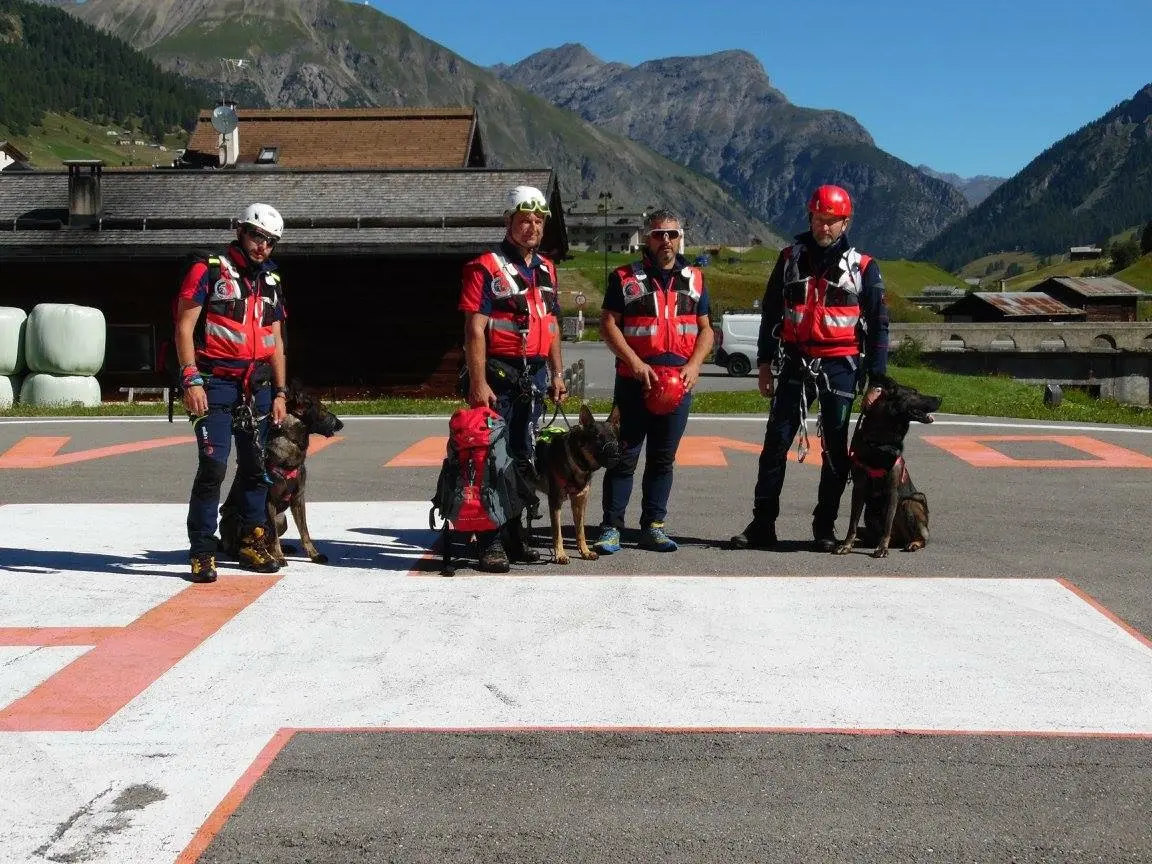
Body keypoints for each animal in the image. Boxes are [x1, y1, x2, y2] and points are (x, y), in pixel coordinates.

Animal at [216, 382, 340, 564]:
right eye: (323, 409)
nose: (340, 424)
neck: (290, 442)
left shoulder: (298, 499)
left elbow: (305, 532)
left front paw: (314, 554)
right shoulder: (269, 502)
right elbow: (274, 535)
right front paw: (279, 557)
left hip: (282, 519)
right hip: (237, 517)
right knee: (239, 543)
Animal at [532, 407, 622, 569]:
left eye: (613, 437)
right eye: (597, 438)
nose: (616, 456)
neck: (575, 460)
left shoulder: (580, 502)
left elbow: (581, 532)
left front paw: (585, 552)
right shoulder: (555, 502)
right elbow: (557, 533)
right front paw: (560, 555)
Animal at [838, 377, 944, 562]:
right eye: (914, 393)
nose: (940, 398)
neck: (881, 442)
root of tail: (901, 540)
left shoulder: (893, 491)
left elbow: (887, 523)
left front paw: (882, 548)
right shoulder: (859, 489)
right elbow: (852, 523)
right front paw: (847, 545)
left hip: (912, 501)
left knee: (921, 537)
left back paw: (912, 543)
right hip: (870, 514)